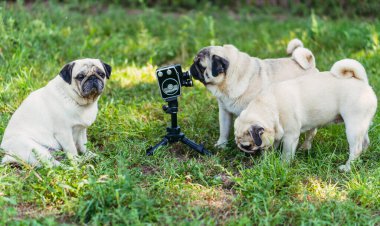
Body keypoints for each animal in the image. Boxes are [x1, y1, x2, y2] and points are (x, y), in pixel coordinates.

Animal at [189, 38, 318, 148]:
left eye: (200, 65)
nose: (191, 67)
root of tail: (310, 63)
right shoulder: (224, 112)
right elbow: (224, 129)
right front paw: (221, 145)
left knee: (311, 132)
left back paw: (305, 147)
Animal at [235, 59, 378, 172]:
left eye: (247, 146)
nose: (241, 149)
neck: (270, 106)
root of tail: (362, 82)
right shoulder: (274, 134)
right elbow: (271, 147)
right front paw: (267, 160)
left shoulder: (290, 137)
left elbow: (287, 153)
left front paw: (283, 165)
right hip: (361, 125)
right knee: (365, 141)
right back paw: (362, 156)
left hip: (353, 127)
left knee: (356, 148)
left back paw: (347, 168)